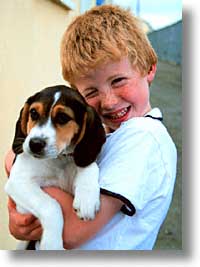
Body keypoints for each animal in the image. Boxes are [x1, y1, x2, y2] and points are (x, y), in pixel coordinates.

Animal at [4, 85, 105, 251]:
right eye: (33, 113)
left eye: (63, 117)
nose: (34, 144)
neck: (59, 160)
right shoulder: (18, 183)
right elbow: (51, 205)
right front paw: (52, 244)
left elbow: (90, 165)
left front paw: (87, 198)